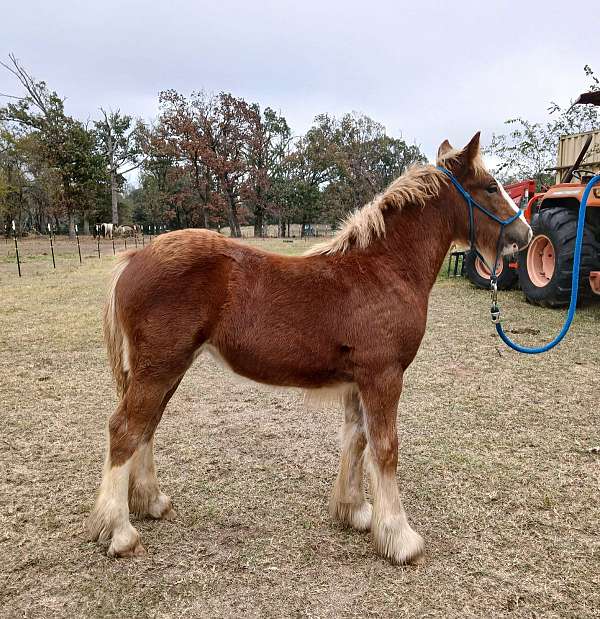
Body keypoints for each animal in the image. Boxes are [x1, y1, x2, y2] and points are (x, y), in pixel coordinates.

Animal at [88, 134, 528, 568]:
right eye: (491, 187)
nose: (522, 235)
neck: (384, 269)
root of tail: (135, 257)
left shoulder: (358, 381)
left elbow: (357, 439)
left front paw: (355, 511)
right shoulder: (384, 376)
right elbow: (385, 449)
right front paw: (400, 538)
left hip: (166, 371)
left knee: (147, 427)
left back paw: (151, 502)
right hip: (158, 370)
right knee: (125, 430)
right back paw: (121, 533)